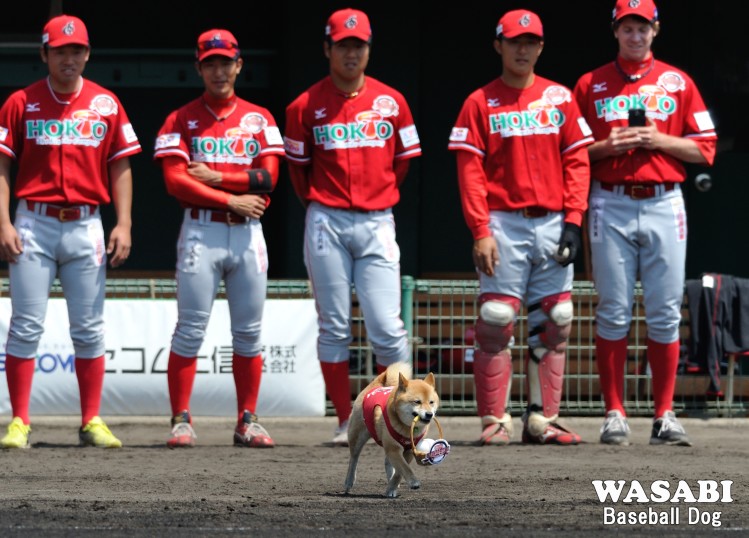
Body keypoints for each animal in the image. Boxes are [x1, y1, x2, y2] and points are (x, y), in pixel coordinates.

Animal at [344, 362, 440, 498]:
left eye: (431, 402)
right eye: (417, 402)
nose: (430, 414)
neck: (407, 428)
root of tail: (376, 384)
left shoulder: (408, 450)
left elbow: (400, 471)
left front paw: (391, 488)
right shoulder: (394, 448)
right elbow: (405, 468)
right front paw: (413, 481)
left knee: (387, 461)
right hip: (357, 436)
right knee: (354, 459)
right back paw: (349, 481)